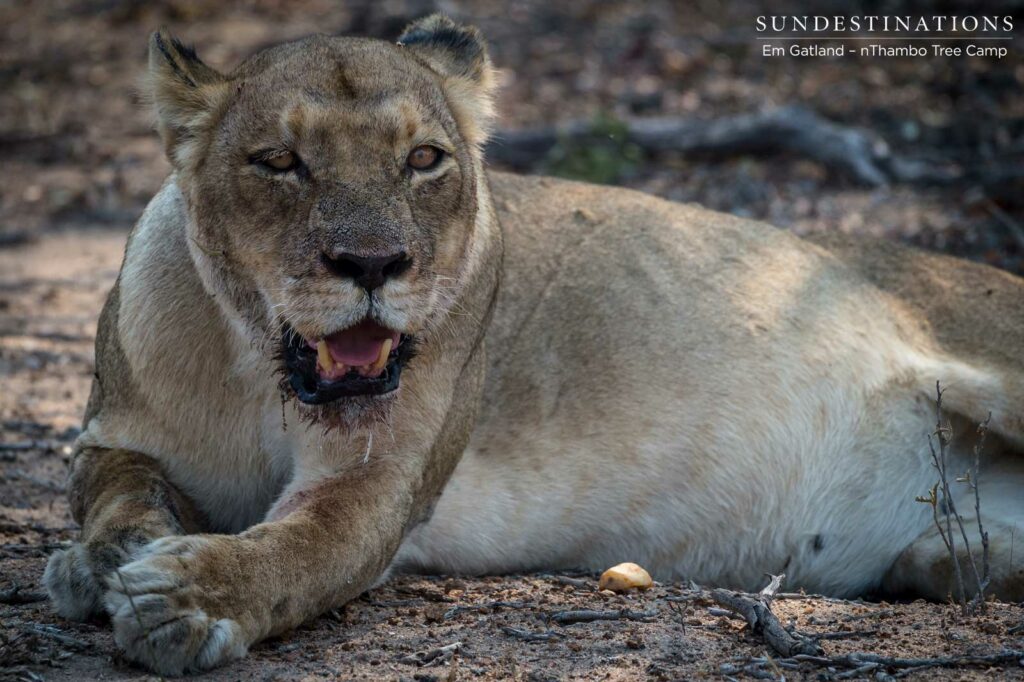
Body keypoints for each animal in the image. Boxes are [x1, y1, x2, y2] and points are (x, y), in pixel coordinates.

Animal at [42, 15, 1024, 676]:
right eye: (280, 162)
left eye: (424, 160)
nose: (373, 264)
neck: (257, 366)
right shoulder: (115, 436)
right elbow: (119, 499)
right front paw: (99, 562)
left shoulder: (379, 483)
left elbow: (298, 551)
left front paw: (183, 597)